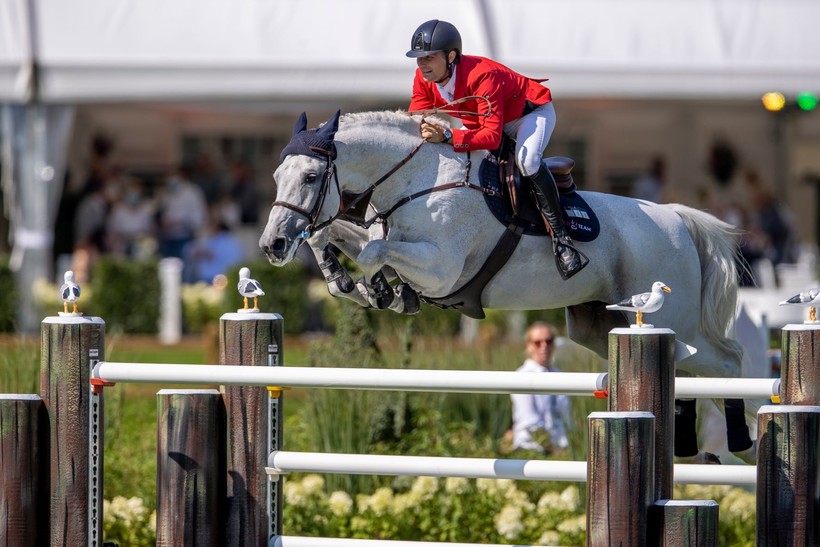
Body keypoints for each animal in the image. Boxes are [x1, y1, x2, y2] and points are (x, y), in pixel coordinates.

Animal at [262, 111, 756, 462]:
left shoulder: (441, 268)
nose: (272, 245)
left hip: (674, 320)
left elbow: (373, 253)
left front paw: (380, 289)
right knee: (693, 377)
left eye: (310, 177)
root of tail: (675, 216)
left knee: (729, 362)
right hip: (603, 328)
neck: (415, 181)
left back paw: (743, 441)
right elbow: (338, 236)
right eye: (276, 178)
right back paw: (701, 450)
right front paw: (350, 282)